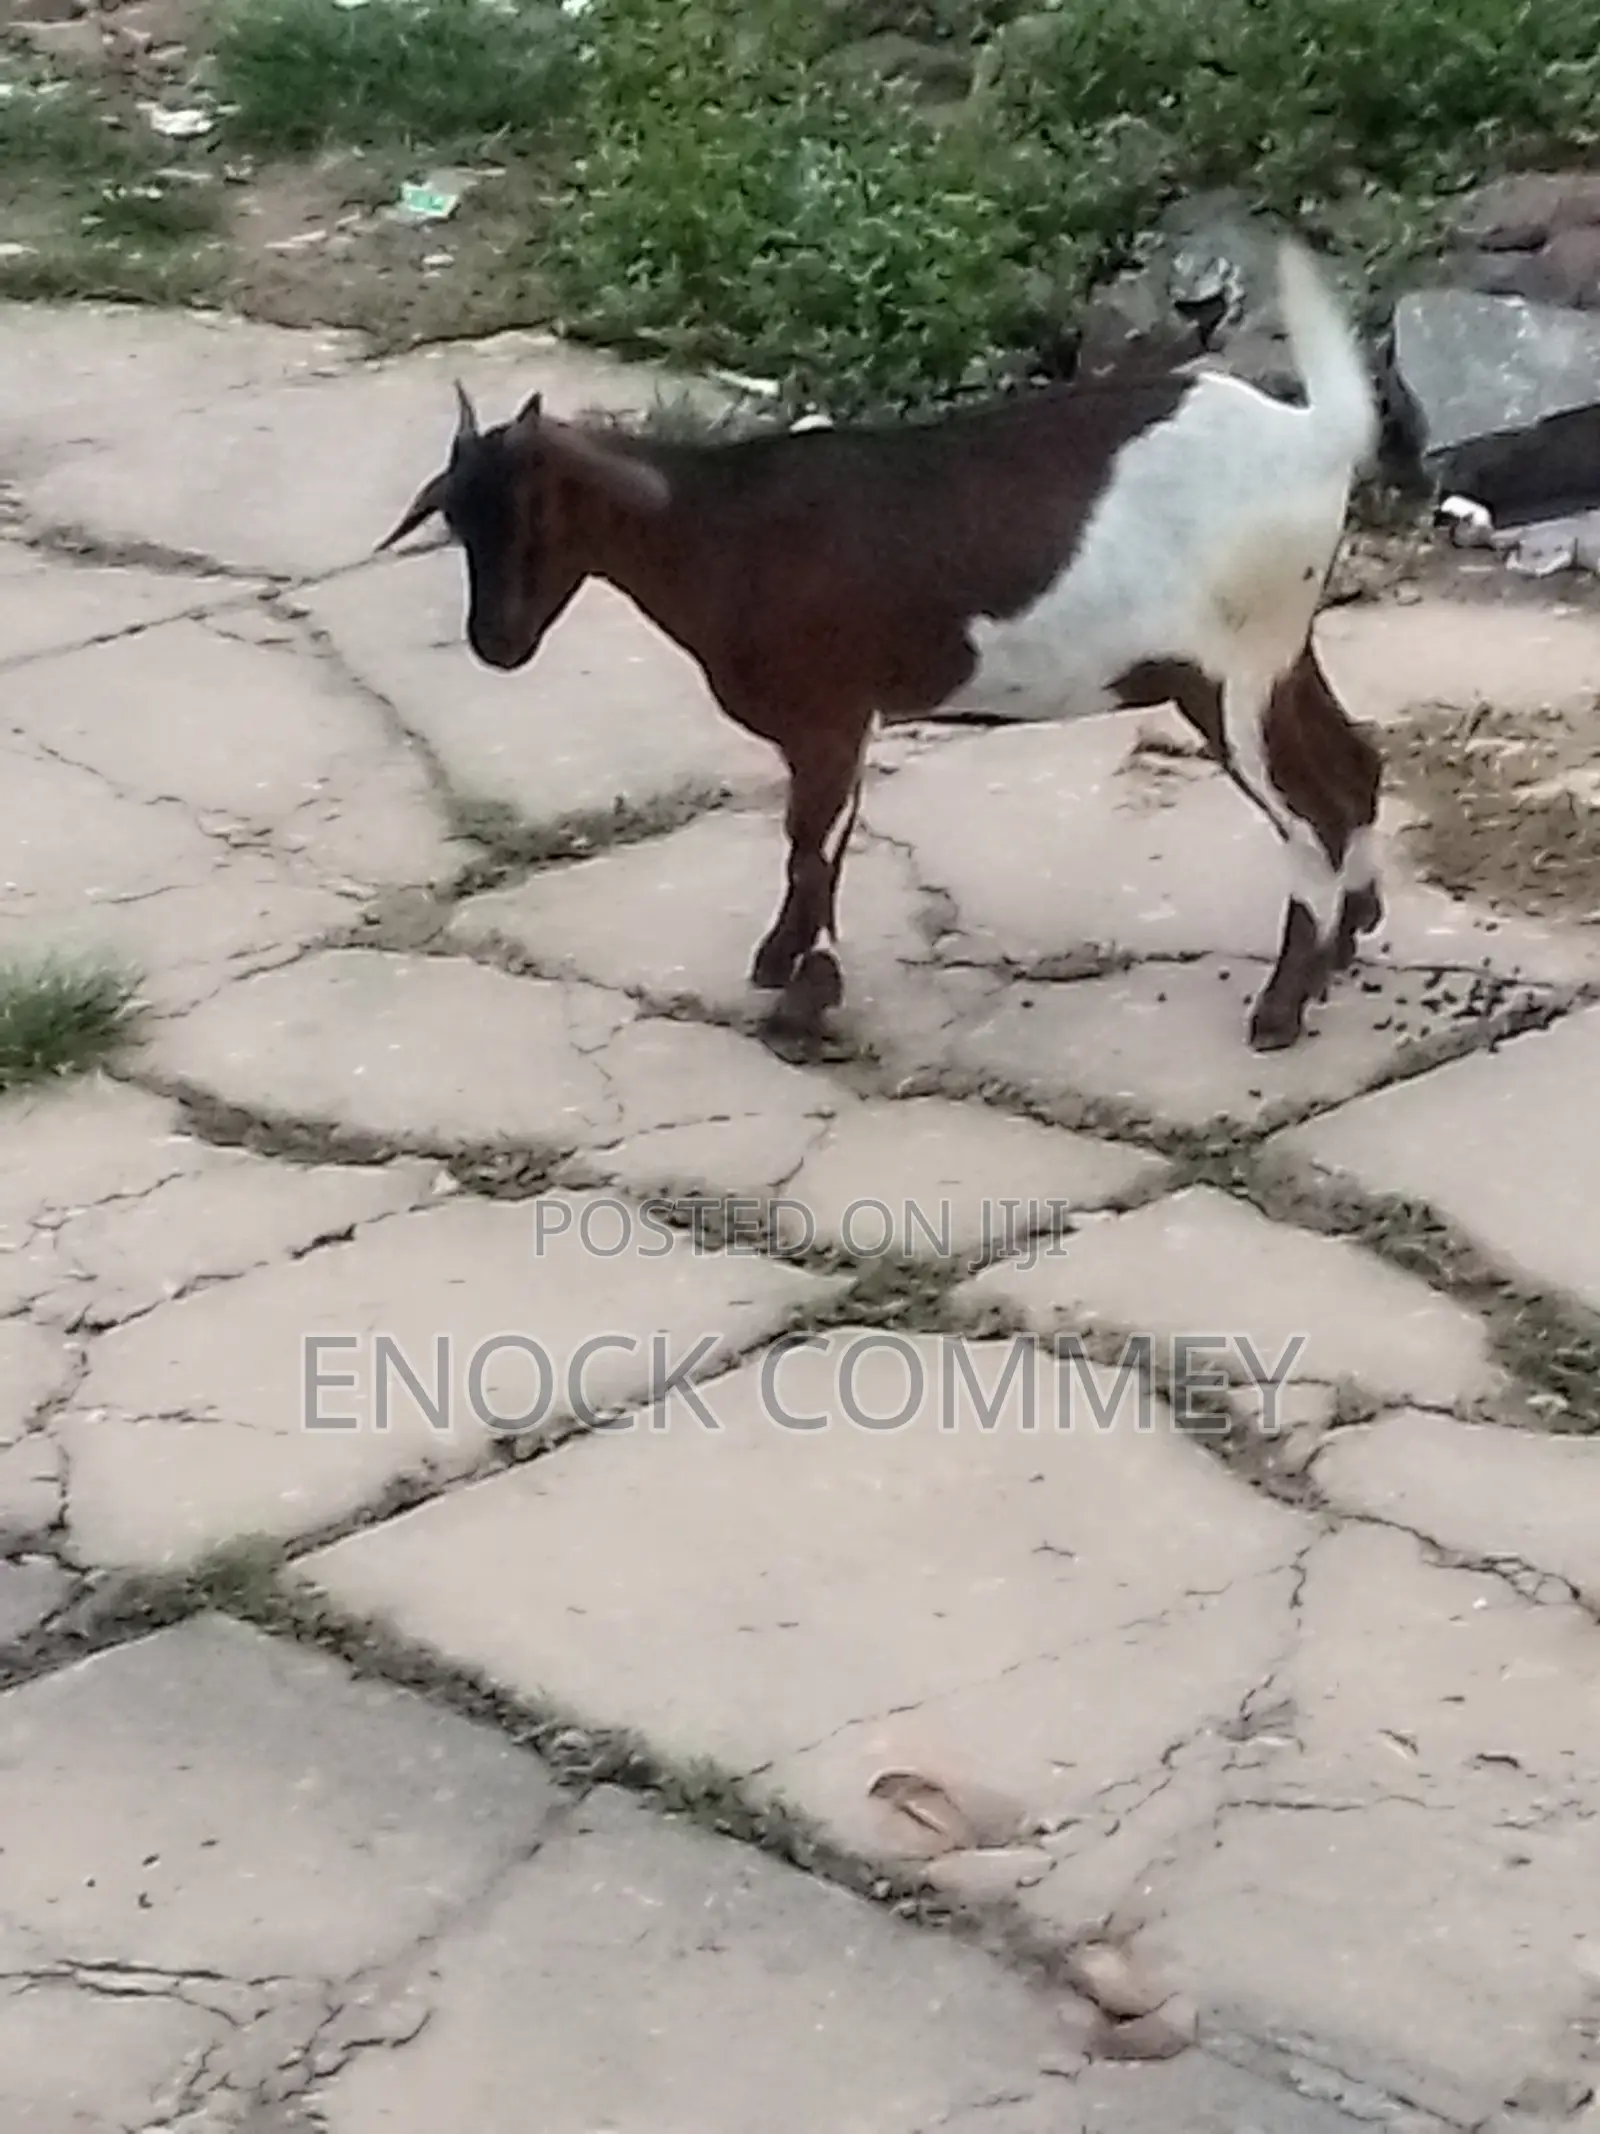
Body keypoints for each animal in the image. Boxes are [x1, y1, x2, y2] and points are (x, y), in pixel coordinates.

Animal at [378, 237, 1382, 1052]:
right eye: (458, 523)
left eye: (534, 519)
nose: (496, 642)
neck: (719, 531)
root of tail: (1314, 435)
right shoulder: (832, 726)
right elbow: (819, 841)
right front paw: (779, 961)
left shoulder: (829, 714)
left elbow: (809, 844)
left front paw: (802, 1004)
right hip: (1281, 649)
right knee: (1352, 767)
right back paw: (1348, 939)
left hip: (1232, 665)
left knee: (1309, 814)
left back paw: (1281, 1009)